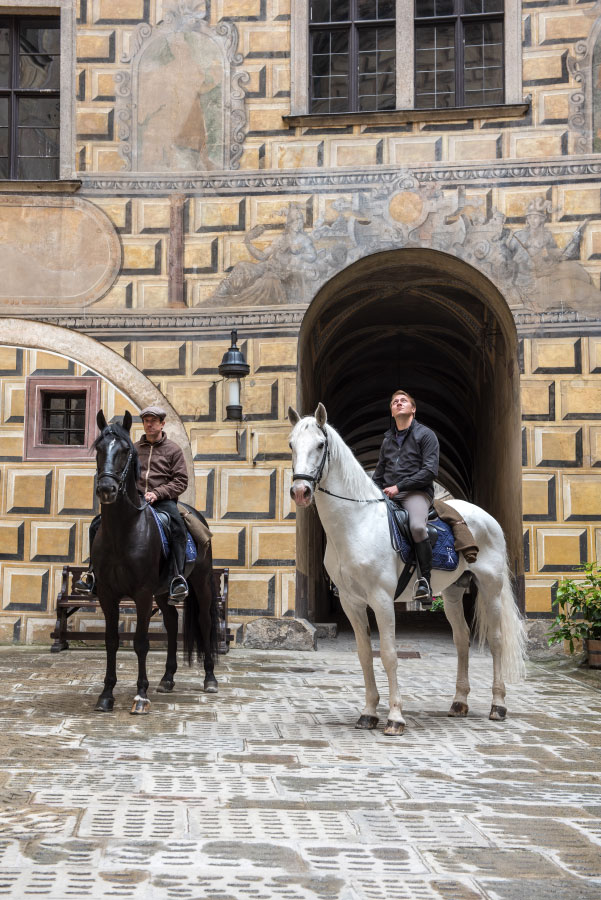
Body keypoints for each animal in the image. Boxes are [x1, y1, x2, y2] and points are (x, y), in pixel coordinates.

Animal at [91, 412, 218, 712]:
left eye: (126, 451)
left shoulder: (142, 594)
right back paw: (168, 678)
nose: (107, 489)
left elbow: (140, 643)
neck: (122, 531)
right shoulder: (107, 594)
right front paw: (106, 694)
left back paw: (210, 678)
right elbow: (111, 641)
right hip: (162, 591)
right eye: (99, 449)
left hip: (200, 582)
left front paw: (140, 695)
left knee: (205, 622)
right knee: (171, 622)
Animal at [288, 404, 524, 736]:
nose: (300, 491)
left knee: (497, 639)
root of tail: (486, 518)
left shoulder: (382, 600)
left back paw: (498, 705)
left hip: (491, 587)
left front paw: (395, 717)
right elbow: (364, 655)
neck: (357, 523)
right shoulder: (352, 602)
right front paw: (368, 713)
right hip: (453, 593)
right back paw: (459, 702)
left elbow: (389, 655)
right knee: (462, 639)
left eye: (321, 445)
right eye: (291, 445)